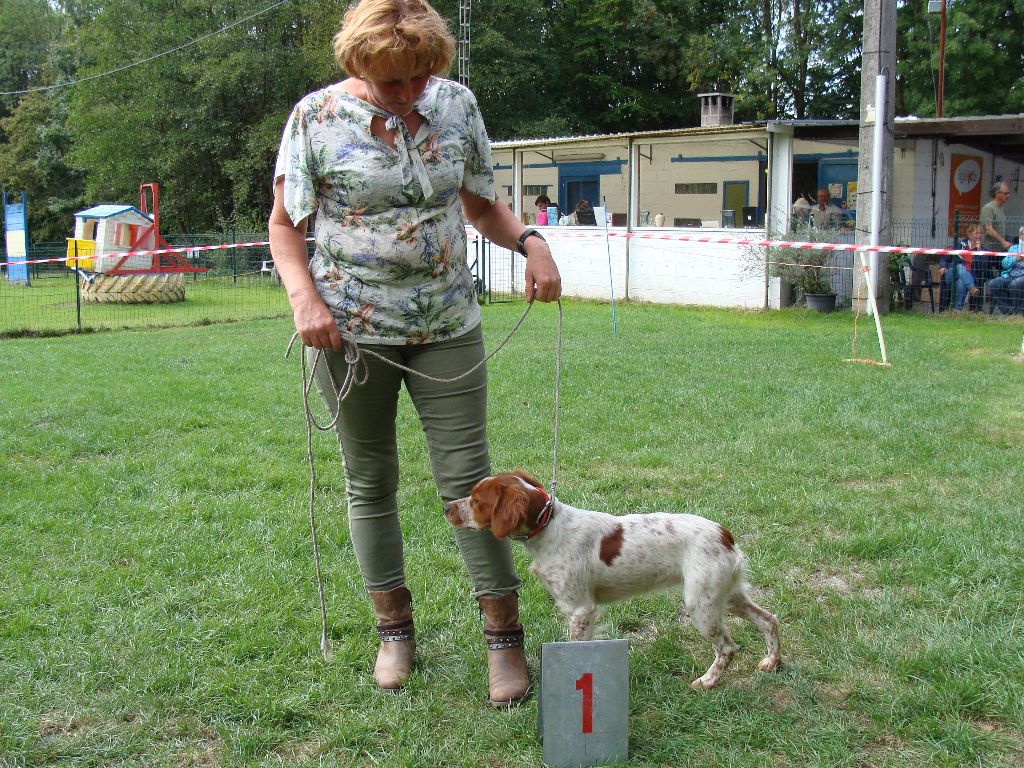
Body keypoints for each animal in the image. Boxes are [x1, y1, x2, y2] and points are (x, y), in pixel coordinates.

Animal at [442, 468, 782, 692]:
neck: (549, 528)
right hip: (727, 596)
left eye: (476, 501)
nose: (446, 507)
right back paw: (772, 662)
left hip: (701, 604)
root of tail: (725, 534)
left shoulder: (581, 609)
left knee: (727, 647)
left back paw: (708, 681)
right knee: (769, 619)